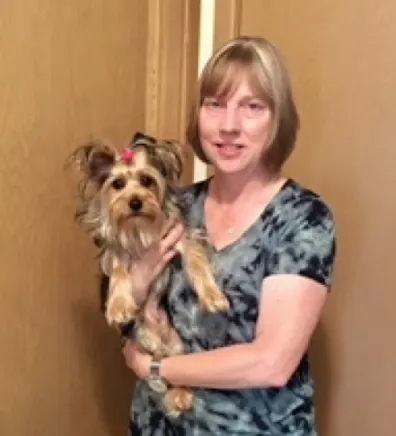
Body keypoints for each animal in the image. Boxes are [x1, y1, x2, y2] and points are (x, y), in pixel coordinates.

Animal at [68, 132, 229, 416]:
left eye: (146, 180)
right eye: (117, 184)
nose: (135, 202)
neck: (138, 228)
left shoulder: (179, 236)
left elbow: (196, 259)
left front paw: (212, 296)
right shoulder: (116, 252)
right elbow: (119, 270)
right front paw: (119, 306)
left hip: (177, 343)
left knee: (175, 367)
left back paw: (180, 395)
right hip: (142, 335)